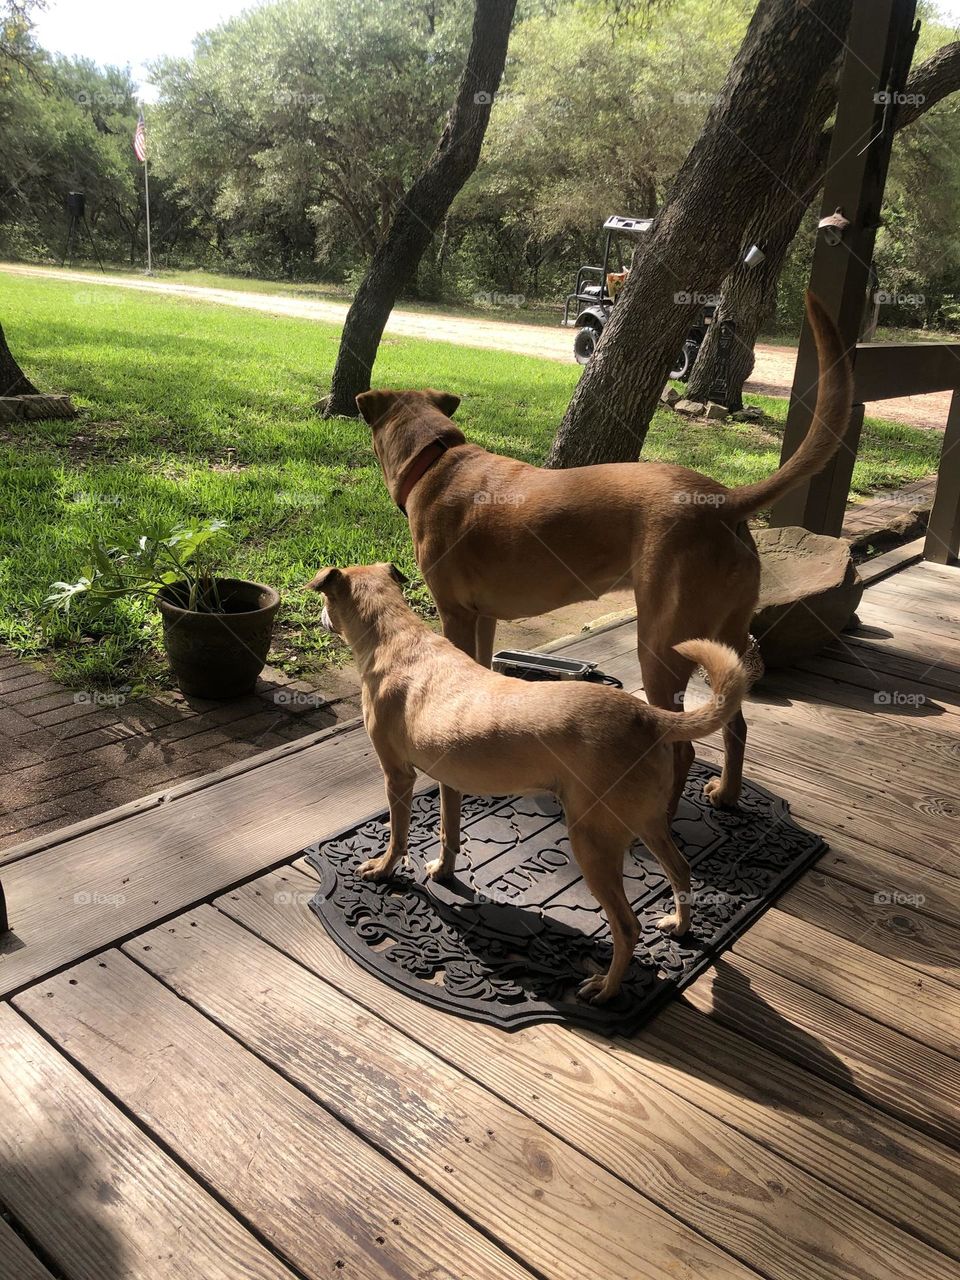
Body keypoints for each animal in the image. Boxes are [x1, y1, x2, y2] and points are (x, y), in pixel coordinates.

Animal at [305, 565, 742, 1003]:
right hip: (646, 823)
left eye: (325, 598)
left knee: (627, 925)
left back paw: (606, 988)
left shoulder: (397, 775)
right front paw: (444, 871)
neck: (397, 637)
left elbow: (397, 836)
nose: (321, 617)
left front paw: (382, 868)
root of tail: (650, 717)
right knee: (680, 869)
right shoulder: (450, 780)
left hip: (592, 842)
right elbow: (449, 832)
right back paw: (680, 926)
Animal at [358, 293, 855, 824]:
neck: (435, 461)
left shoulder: (454, 613)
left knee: (682, 746)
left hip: (661, 646)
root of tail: (724, 500)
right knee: (735, 725)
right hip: (727, 635)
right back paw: (726, 793)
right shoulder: (484, 617)